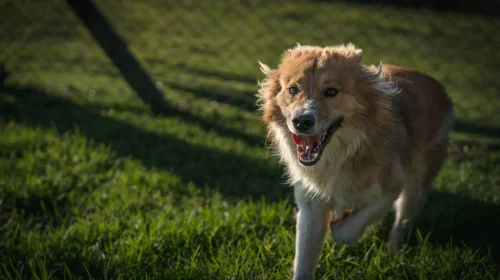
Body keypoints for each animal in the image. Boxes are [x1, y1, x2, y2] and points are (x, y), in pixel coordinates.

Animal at [256, 42, 456, 278]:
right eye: (293, 90)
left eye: (331, 91)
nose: (301, 122)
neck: (342, 155)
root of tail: (436, 85)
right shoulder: (311, 205)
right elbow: (304, 263)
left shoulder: (389, 190)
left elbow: (345, 232)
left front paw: (339, 222)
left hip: (416, 186)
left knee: (402, 223)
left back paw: (392, 255)